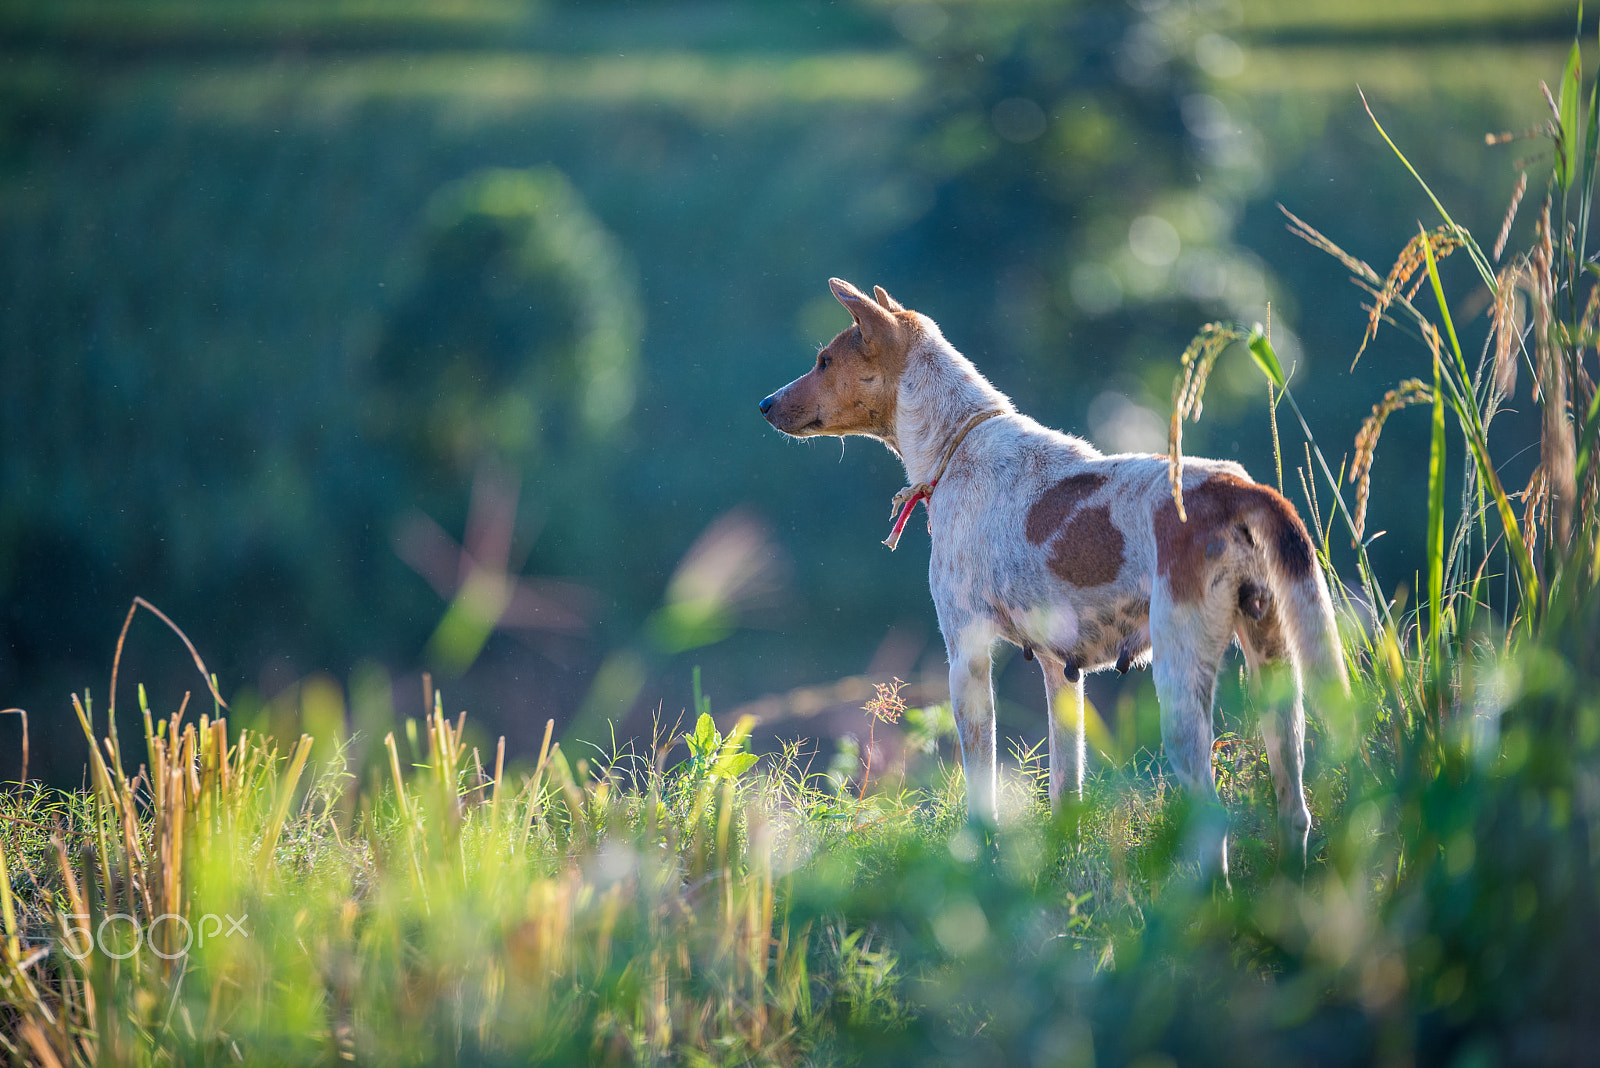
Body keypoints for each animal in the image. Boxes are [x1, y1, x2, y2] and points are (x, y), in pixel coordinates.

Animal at [761, 274, 1350, 876]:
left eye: (824, 361)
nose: (764, 404)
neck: (958, 441)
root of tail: (1236, 488)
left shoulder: (967, 656)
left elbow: (981, 792)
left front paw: (984, 862)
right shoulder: (1060, 673)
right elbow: (1067, 789)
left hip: (1180, 686)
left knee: (1212, 823)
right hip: (1276, 675)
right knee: (1295, 811)